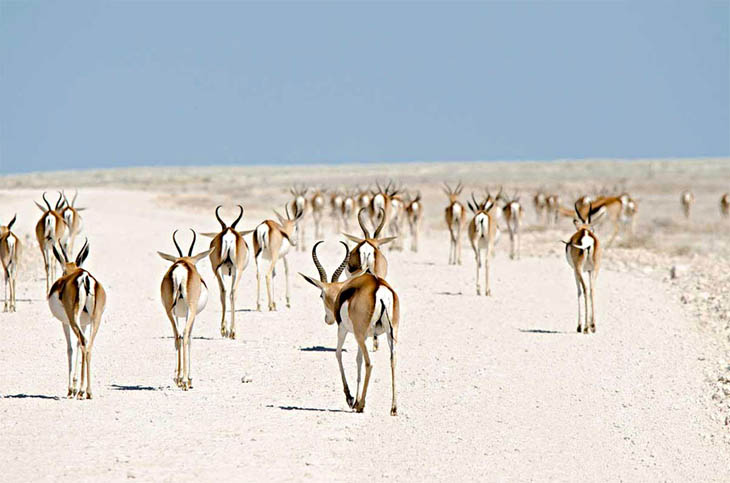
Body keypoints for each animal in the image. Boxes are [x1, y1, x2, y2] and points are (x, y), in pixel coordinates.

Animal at [47, 240, 105, 398]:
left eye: (63, 272)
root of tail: (84, 277)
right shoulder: (84, 323)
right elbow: (79, 345)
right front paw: (75, 385)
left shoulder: (65, 322)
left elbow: (70, 349)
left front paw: (70, 389)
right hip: (95, 320)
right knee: (88, 345)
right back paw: (87, 391)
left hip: (73, 319)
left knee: (83, 342)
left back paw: (82, 391)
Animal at [156, 229, 208, 392]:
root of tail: (180, 268)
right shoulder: (192, 315)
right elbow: (190, 338)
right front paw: (189, 379)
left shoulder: (178, 314)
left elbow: (178, 336)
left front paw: (178, 378)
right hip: (190, 311)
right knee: (184, 335)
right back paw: (185, 380)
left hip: (169, 311)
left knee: (176, 335)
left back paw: (177, 379)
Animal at [200, 207, 249, 340]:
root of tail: (228, 234)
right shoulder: (233, 273)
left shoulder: (222, 271)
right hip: (238, 271)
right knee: (232, 292)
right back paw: (232, 331)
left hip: (218, 270)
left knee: (224, 291)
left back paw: (224, 329)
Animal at [300, 242, 400, 416]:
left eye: (321, 295)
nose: (327, 319)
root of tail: (379, 288)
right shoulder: (364, 337)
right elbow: (357, 360)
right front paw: (356, 399)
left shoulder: (344, 330)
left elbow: (338, 354)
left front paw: (351, 399)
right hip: (390, 334)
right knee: (392, 361)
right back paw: (393, 408)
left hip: (359, 335)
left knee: (369, 363)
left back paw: (362, 406)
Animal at [564, 202, 604, 334]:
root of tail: (586, 236)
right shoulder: (590, 270)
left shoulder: (575, 271)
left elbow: (579, 292)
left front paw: (579, 326)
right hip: (596, 269)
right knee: (592, 289)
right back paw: (593, 326)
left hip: (579, 269)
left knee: (585, 289)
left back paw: (585, 327)